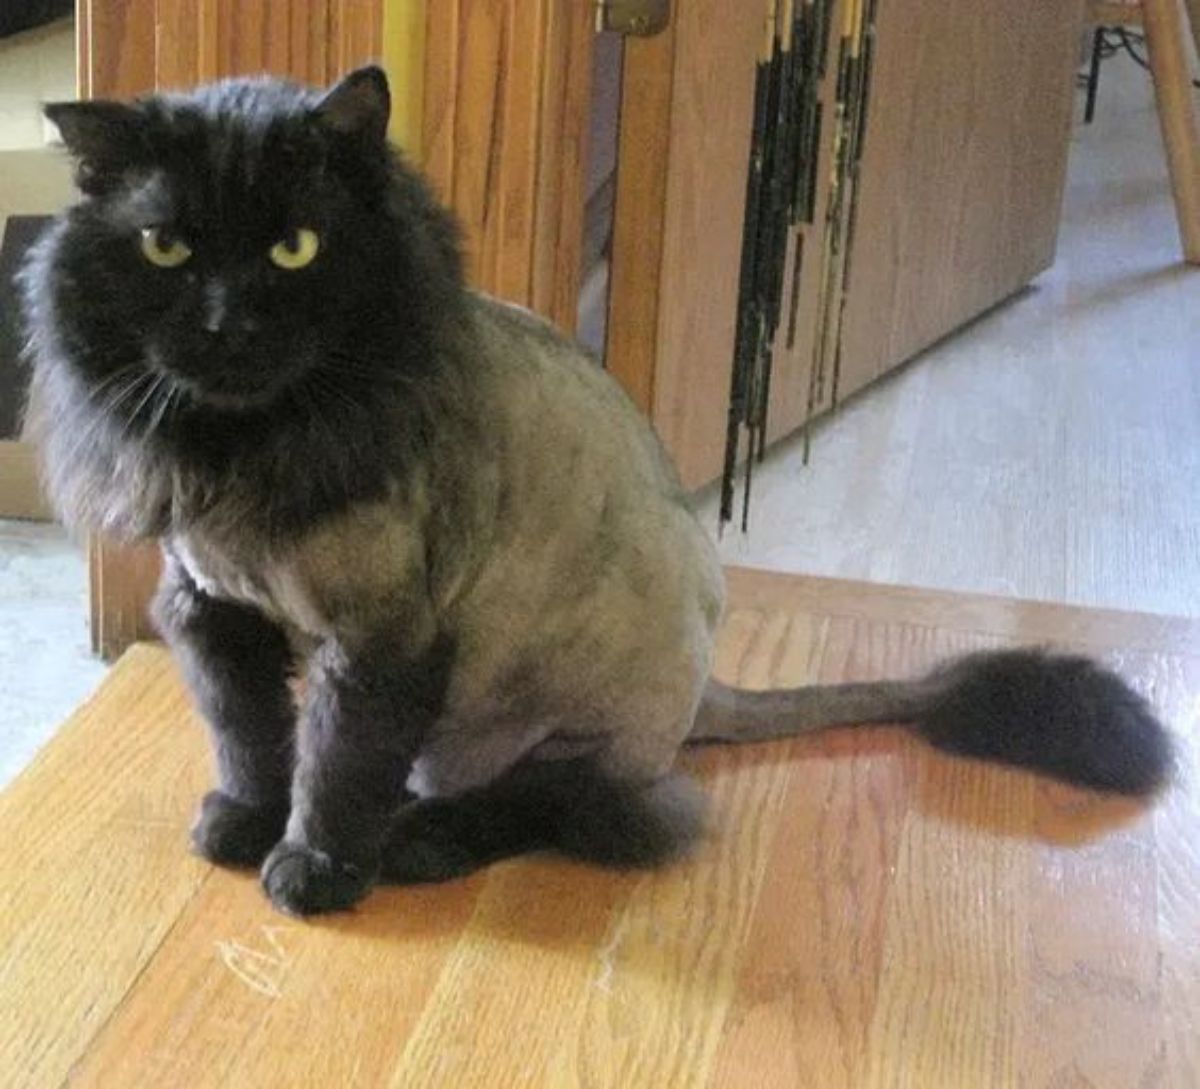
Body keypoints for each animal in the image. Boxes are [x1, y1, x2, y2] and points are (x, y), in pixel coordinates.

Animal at [18, 68, 1176, 916]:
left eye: (294, 248)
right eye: (166, 246)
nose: (227, 327)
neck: (251, 446)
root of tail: (709, 686)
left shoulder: (383, 634)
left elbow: (337, 762)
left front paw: (315, 868)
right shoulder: (213, 607)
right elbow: (250, 734)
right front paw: (243, 820)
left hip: (572, 715)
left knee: (580, 807)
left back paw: (424, 842)